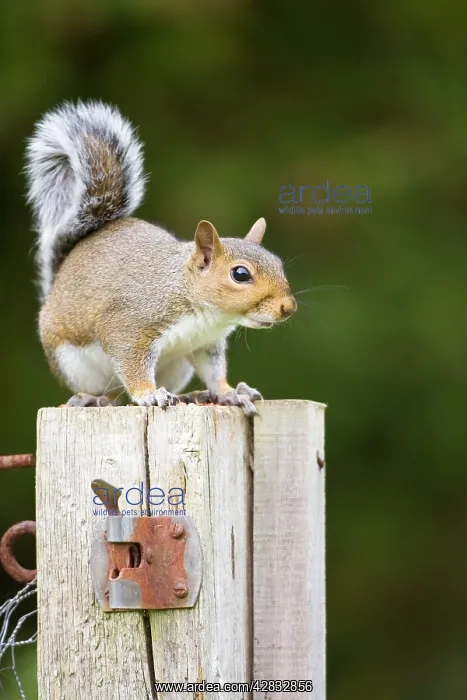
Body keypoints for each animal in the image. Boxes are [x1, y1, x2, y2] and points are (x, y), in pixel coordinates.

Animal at [25, 101, 297, 416]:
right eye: (240, 274)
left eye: (278, 263)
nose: (288, 307)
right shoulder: (129, 324)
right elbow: (132, 364)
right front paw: (148, 394)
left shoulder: (204, 345)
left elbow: (215, 373)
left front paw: (230, 392)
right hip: (75, 363)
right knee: (113, 394)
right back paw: (94, 399)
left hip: (177, 367)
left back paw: (195, 394)